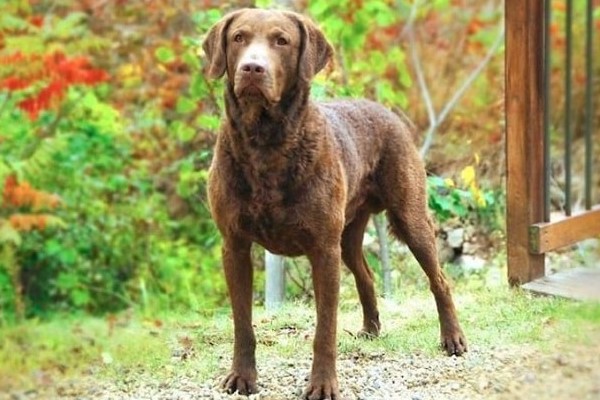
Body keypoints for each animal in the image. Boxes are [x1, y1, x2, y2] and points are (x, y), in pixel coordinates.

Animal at [204, 7, 466, 398]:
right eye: (239, 38)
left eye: (281, 40)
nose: (252, 68)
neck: (266, 145)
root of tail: (386, 111)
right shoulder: (234, 245)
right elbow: (242, 323)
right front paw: (242, 377)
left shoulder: (322, 250)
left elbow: (324, 329)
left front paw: (323, 384)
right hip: (348, 234)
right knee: (367, 275)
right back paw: (371, 330)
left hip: (409, 217)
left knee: (440, 280)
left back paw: (453, 339)